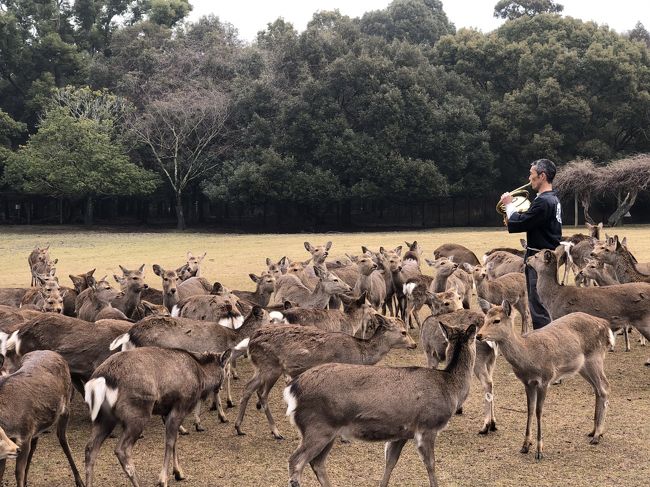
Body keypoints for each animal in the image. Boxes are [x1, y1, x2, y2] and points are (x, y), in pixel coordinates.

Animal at [0, 350, 84, 487]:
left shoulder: (24, 435)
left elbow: (18, 473)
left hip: (66, 408)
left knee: (63, 439)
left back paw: (80, 481)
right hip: (38, 426)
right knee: (34, 446)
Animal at [83, 346, 230, 487]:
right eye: (224, 368)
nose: (220, 387)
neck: (202, 377)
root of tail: (102, 380)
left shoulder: (165, 411)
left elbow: (175, 439)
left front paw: (178, 472)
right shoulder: (180, 407)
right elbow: (169, 442)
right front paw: (163, 479)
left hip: (103, 418)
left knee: (90, 448)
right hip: (137, 414)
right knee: (122, 450)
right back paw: (138, 483)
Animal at [233, 314, 416, 440]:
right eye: (403, 332)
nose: (414, 344)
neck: (360, 355)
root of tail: (251, 341)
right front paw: (343, 437)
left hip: (260, 367)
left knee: (248, 388)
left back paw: (239, 427)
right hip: (271, 366)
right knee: (262, 394)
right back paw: (276, 432)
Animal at [284, 322, 476, 486]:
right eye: (476, 339)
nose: (480, 336)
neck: (450, 388)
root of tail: (291, 389)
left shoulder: (402, 432)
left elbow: (390, 462)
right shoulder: (427, 427)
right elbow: (431, 464)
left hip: (328, 430)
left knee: (316, 462)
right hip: (318, 426)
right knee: (295, 461)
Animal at [474, 304, 612, 462]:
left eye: (496, 320)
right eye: (485, 319)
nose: (478, 335)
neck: (529, 357)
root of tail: (605, 324)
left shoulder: (545, 380)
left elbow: (539, 411)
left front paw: (539, 450)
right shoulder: (527, 383)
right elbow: (530, 409)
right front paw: (525, 445)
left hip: (596, 358)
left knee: (605, 387)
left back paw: (597, 435)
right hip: (583, 367)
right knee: (597, 389)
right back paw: (593, 431)